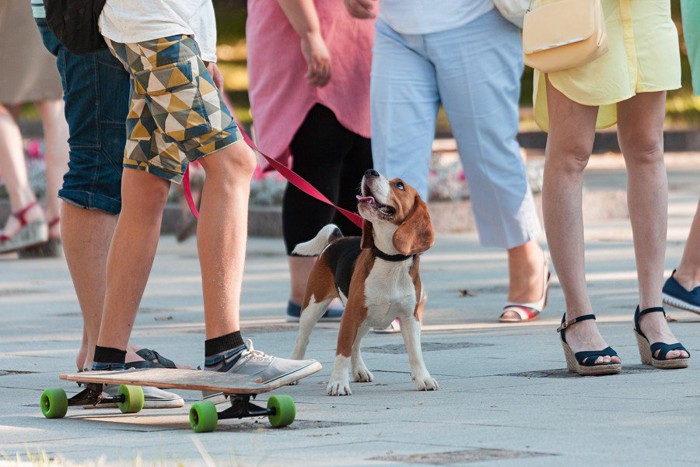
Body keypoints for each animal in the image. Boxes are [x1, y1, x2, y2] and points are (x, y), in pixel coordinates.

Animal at [290, 170, 438, 396]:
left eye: (399, 185)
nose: (370, 171)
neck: (390, 259)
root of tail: (336, 239)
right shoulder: (350, 316)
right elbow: (342, 351)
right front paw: (338, 383)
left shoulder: (410, 318)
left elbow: (415, 352)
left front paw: (423, 378)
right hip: (314, 306)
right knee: (302, 339)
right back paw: (296, 368)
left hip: (367, 319)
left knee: (356, 344)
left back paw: (359, 370)